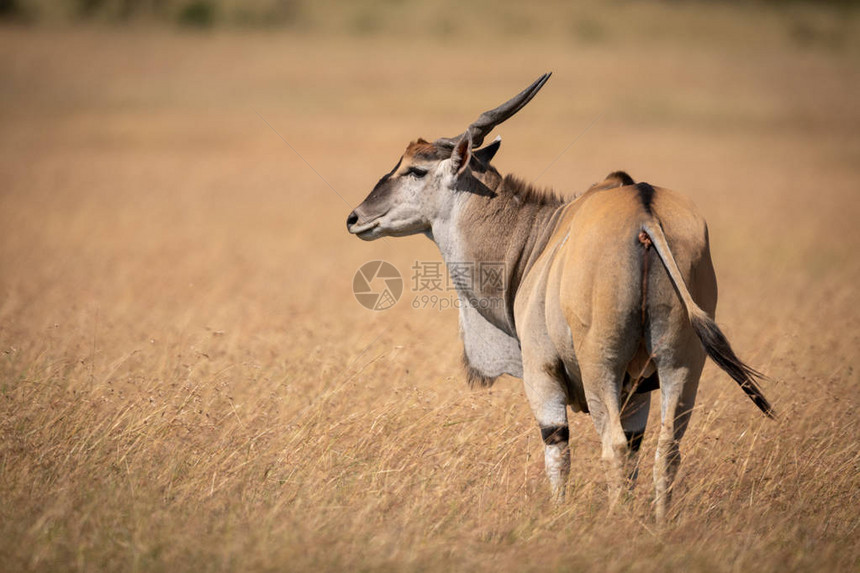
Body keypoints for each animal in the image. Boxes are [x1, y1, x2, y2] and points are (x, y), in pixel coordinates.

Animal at [346, 73, 776, 520]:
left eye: (415, 170)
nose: (355, 218)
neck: (535, 237)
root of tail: (645, 215)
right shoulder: (640, 391)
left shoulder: (542, 374)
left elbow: (558, 451)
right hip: (681, 366)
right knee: (666, 450)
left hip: (601, 366)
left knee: (614, 447)